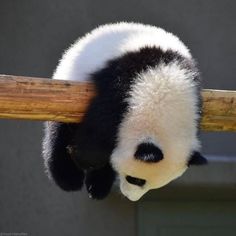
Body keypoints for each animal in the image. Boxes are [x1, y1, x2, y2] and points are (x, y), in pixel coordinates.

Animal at [42, 22, 206, 201]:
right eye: (136, 179)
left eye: (156, 186)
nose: (130, 198)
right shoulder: (120, 88)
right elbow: (96, 132)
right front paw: (82, 159)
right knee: (59, 132)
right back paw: (69, 179)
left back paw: (98, 187)